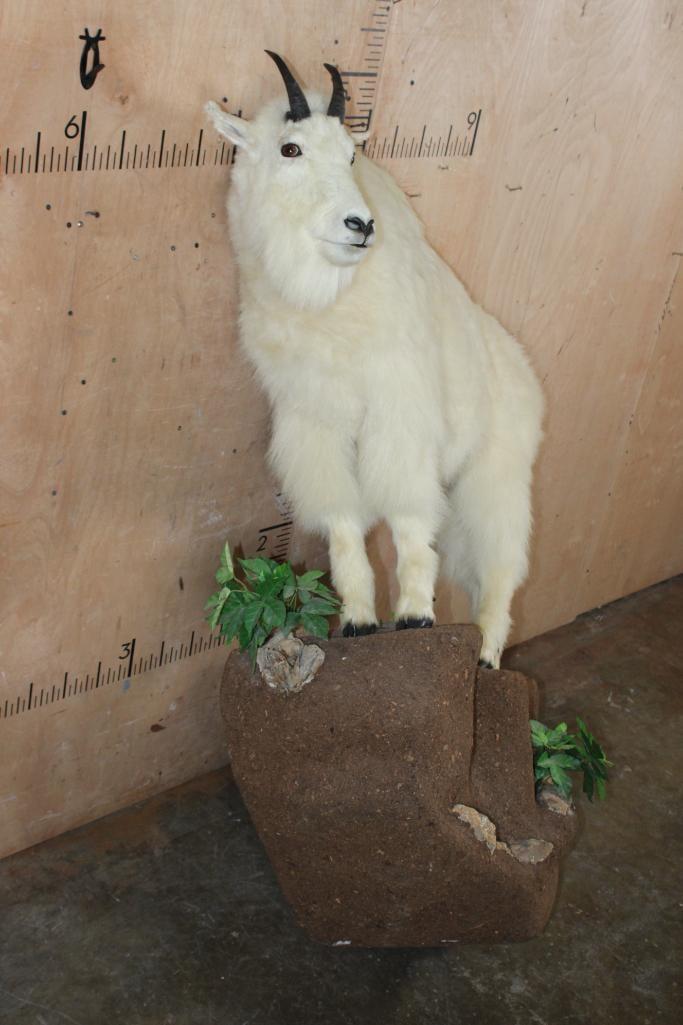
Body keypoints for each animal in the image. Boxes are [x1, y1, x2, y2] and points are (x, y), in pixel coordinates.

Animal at [206, 52, 543, 668]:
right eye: (290, 149)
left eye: (351, 155)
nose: (359, 226)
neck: (331, 307)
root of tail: (524, 375)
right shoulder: (316, 426)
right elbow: (344, 524)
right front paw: (358, 620)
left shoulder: (399, 415)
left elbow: (408, 518)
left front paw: (414, 614)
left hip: (498, 475)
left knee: (501, 565)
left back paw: (486, 653)